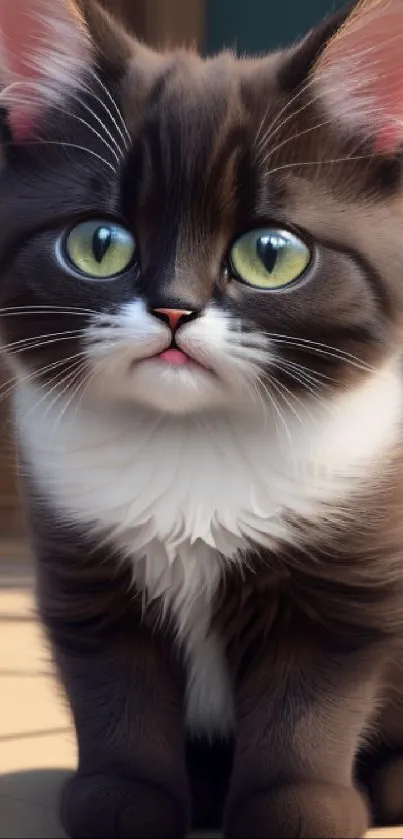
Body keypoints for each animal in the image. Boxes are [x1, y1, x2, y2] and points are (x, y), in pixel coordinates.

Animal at [0, 0, 403, 836]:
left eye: (270, 254)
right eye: (98, 244)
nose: (174, 308)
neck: (193, 438)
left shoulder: (345, 577)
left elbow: (306, 704)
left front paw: (294, 809)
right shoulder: (87, 575)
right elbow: (117, 691)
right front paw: (123, 799)